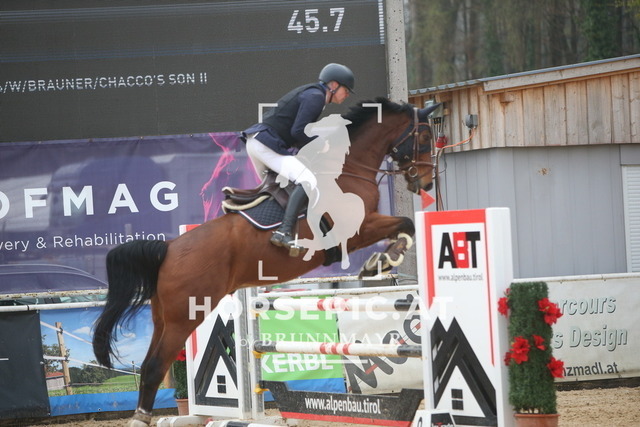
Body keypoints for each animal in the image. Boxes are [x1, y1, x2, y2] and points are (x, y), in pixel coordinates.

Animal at [92, 97, 438, 426]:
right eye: (423, 137)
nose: (426, 183)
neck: (347, 170)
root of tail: (170, 248)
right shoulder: (357, 230)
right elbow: (406, 222)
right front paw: (384, 259)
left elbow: (403, 224)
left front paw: (380, 261)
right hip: (186, 315)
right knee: (154, 366)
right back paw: (140, 419)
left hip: (164, 317)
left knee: (149, 364)